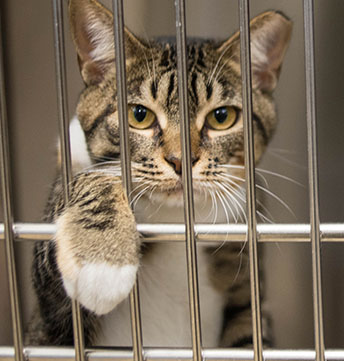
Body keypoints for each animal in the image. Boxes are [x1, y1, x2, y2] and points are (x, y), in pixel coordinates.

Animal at [26, 0, 292, 348]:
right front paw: (103, 262)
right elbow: (89, 179)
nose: (180, 161)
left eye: (221, 117)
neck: (174, 220)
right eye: (139, 115)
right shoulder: (51, 321)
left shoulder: (249, 291)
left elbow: (249, 335)